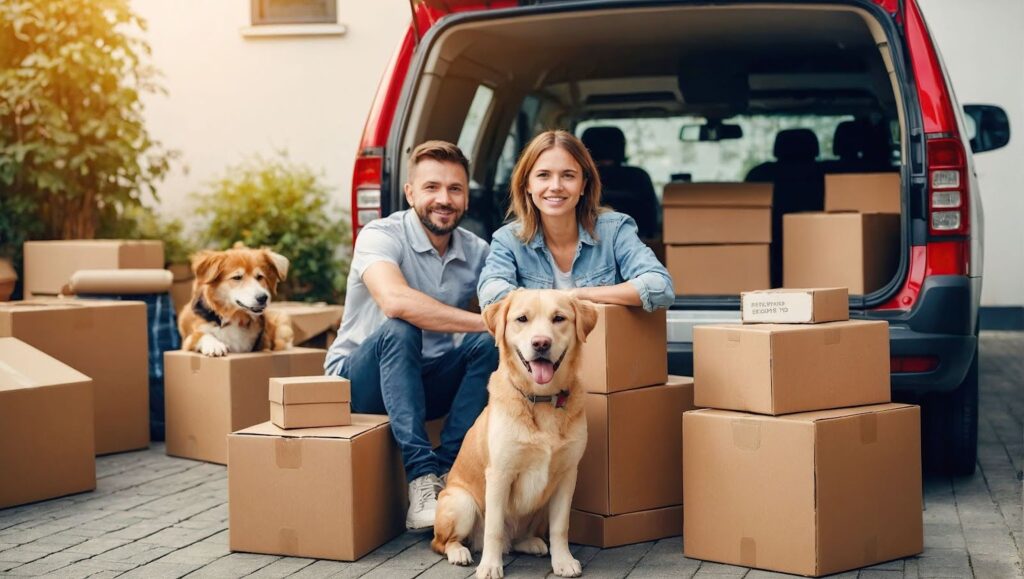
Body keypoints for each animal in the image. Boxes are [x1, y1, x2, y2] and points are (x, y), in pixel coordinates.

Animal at [432, 288, 598, 577]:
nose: (541, 343)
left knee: (518, 537)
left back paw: (531, 543)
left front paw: (563, 560)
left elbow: (560, 527)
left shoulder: (567, 475)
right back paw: (460, 552)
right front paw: (490, 566)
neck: (541, 400)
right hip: (461, 502)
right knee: (442, 542)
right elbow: (494, 529)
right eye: (522, 319)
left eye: (559, 318)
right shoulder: (499, 474)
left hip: (542, 505)